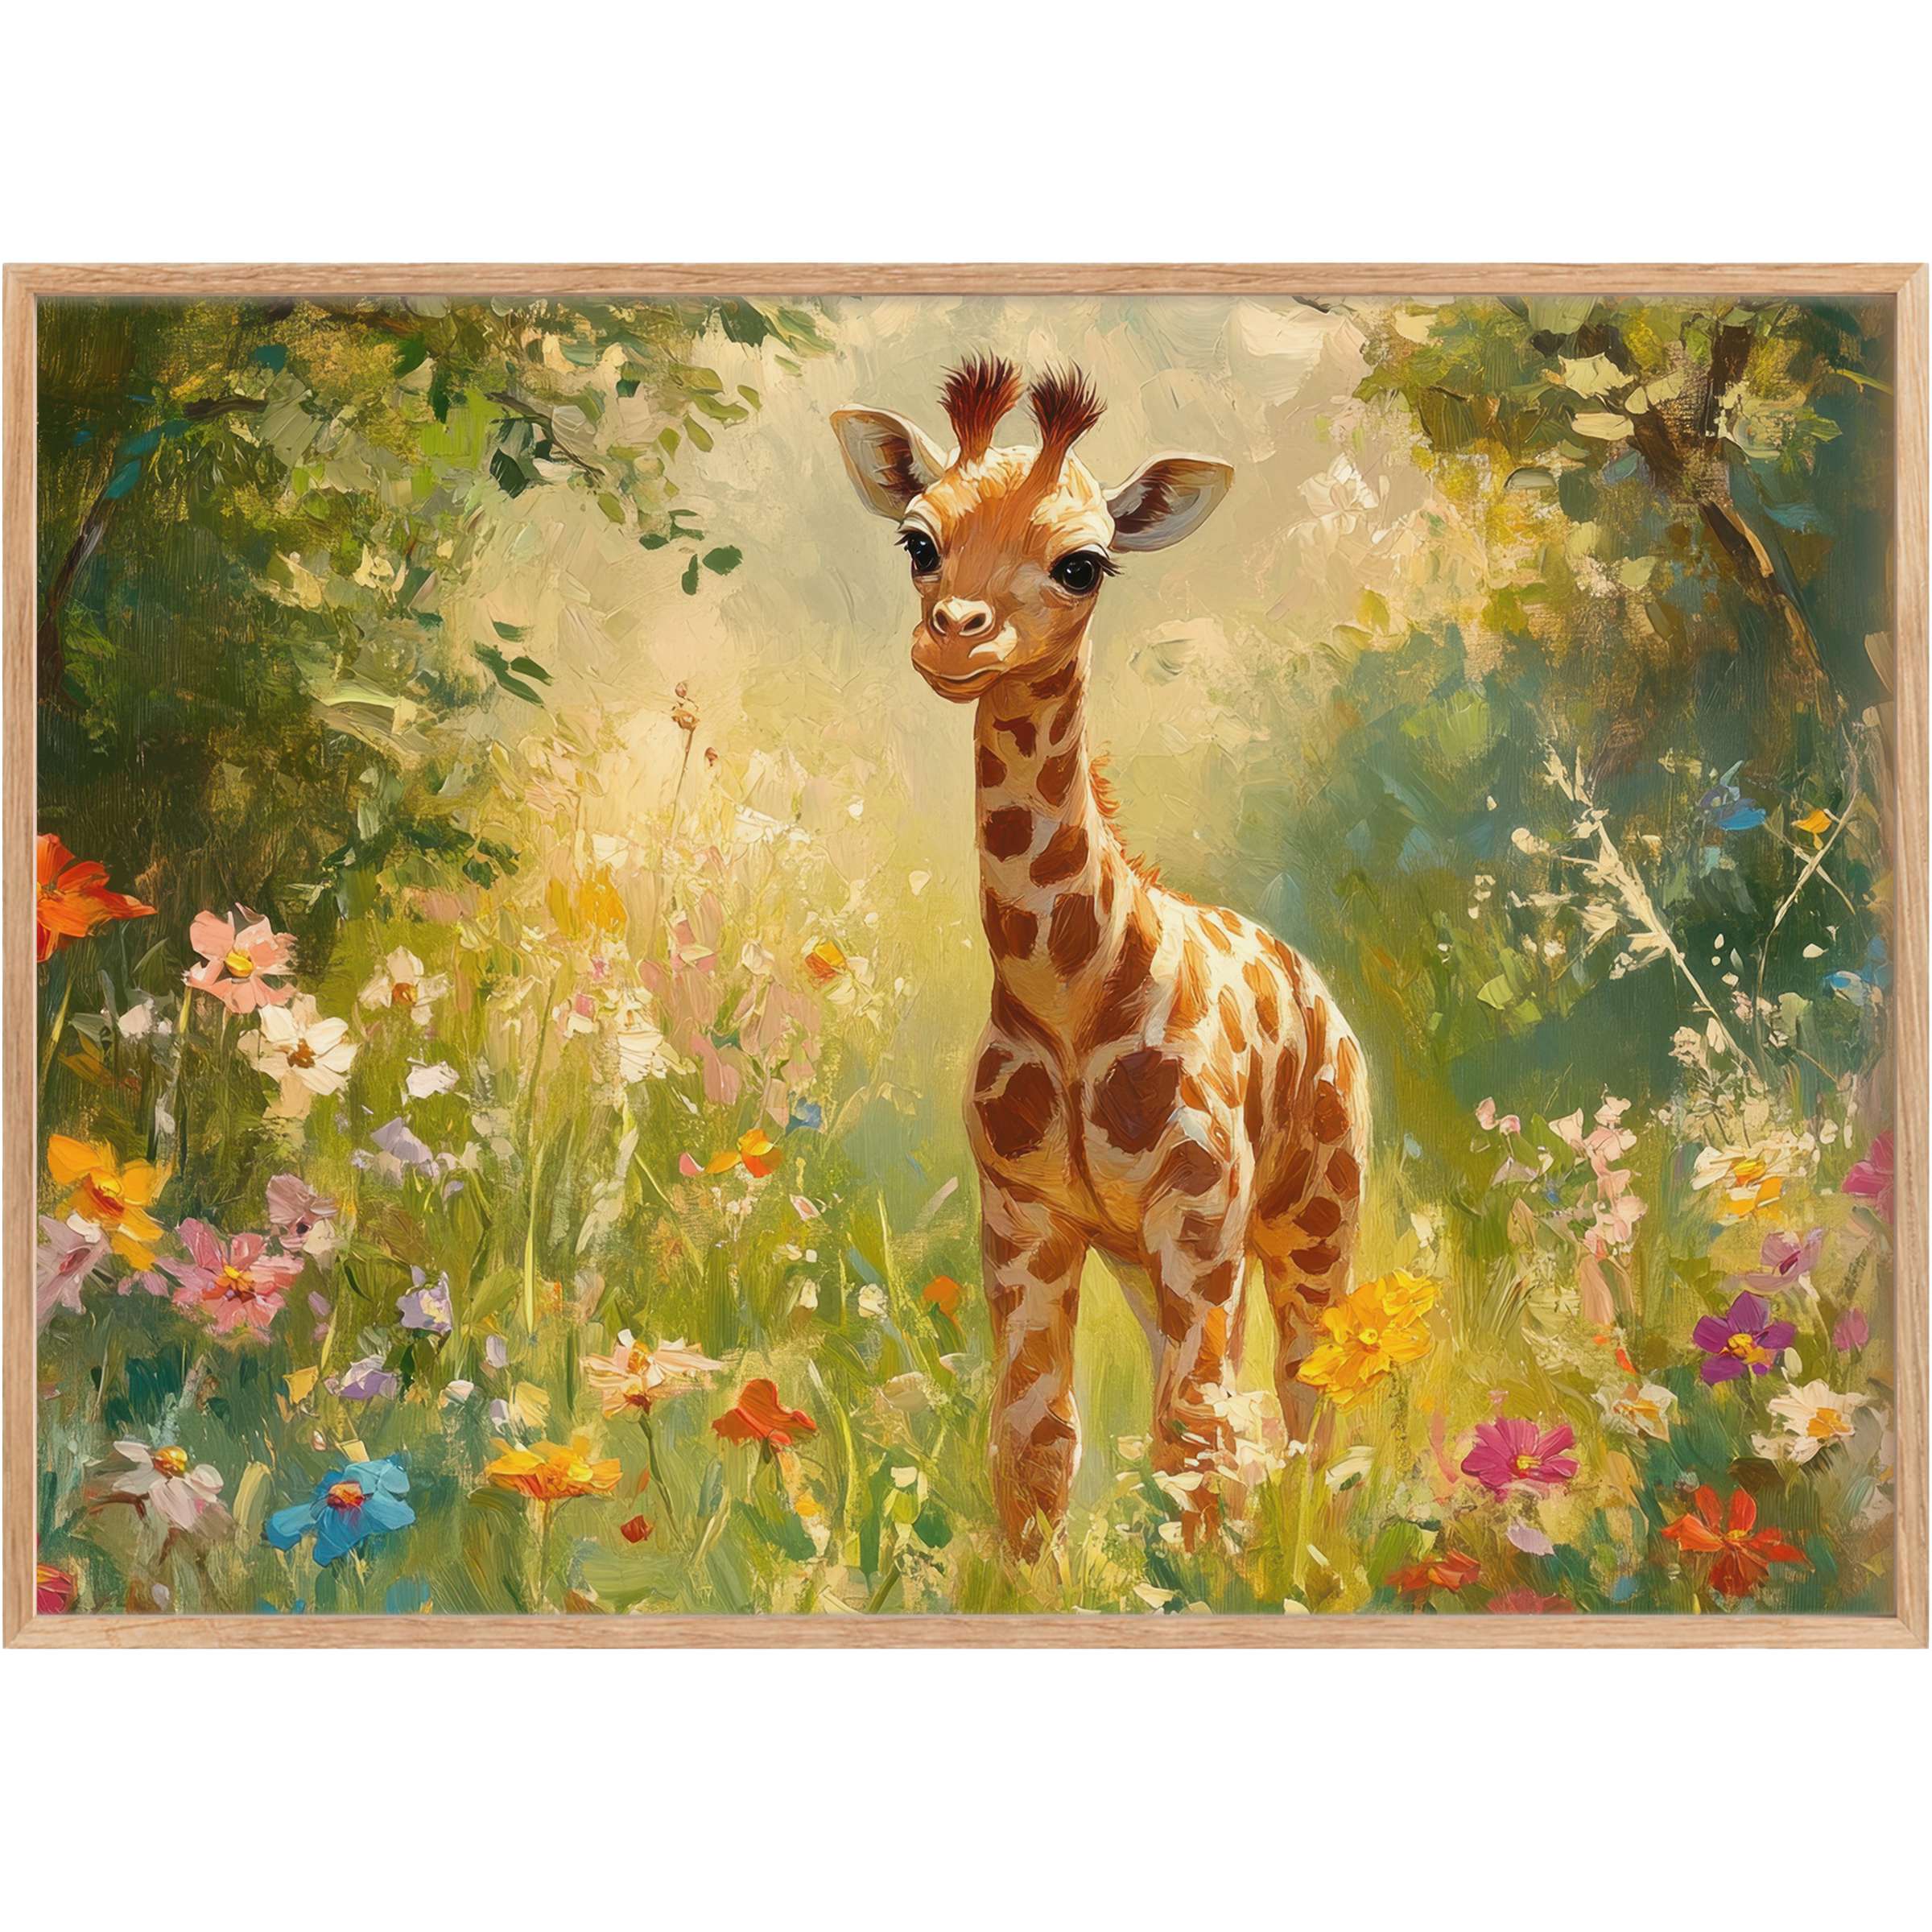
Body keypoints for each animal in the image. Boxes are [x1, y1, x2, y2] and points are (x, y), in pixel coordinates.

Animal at [832, 356, 1371, 1556]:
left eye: (1083, 564)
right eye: (918, 541)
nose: (954, 637)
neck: (1070, 996)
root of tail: (1323, 992)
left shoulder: (1201, 1213)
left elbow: (1189, 1438)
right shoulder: (1025, 1218)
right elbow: (1038, 1445)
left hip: (1315, 1215)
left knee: (1305, 1401)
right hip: (1152, 1256)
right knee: (1253, 1417)